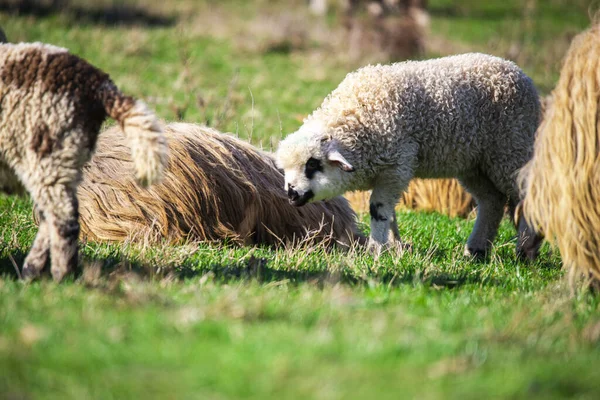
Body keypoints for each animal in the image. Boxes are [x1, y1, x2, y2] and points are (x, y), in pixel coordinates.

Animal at [276, 53, 544, 258]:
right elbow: (390, 213)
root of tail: (519, 72)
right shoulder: (388, 173)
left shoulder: (397, 165)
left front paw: (376, 250)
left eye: (312, 164)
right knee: (492, 201)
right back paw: (476, 250)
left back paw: (526, 249)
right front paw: (394, 246)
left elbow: (378, 209)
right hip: (475, 164)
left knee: (526, 193)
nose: (291, 194)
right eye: (285, 169)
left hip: (510, 147)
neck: (357, 118)